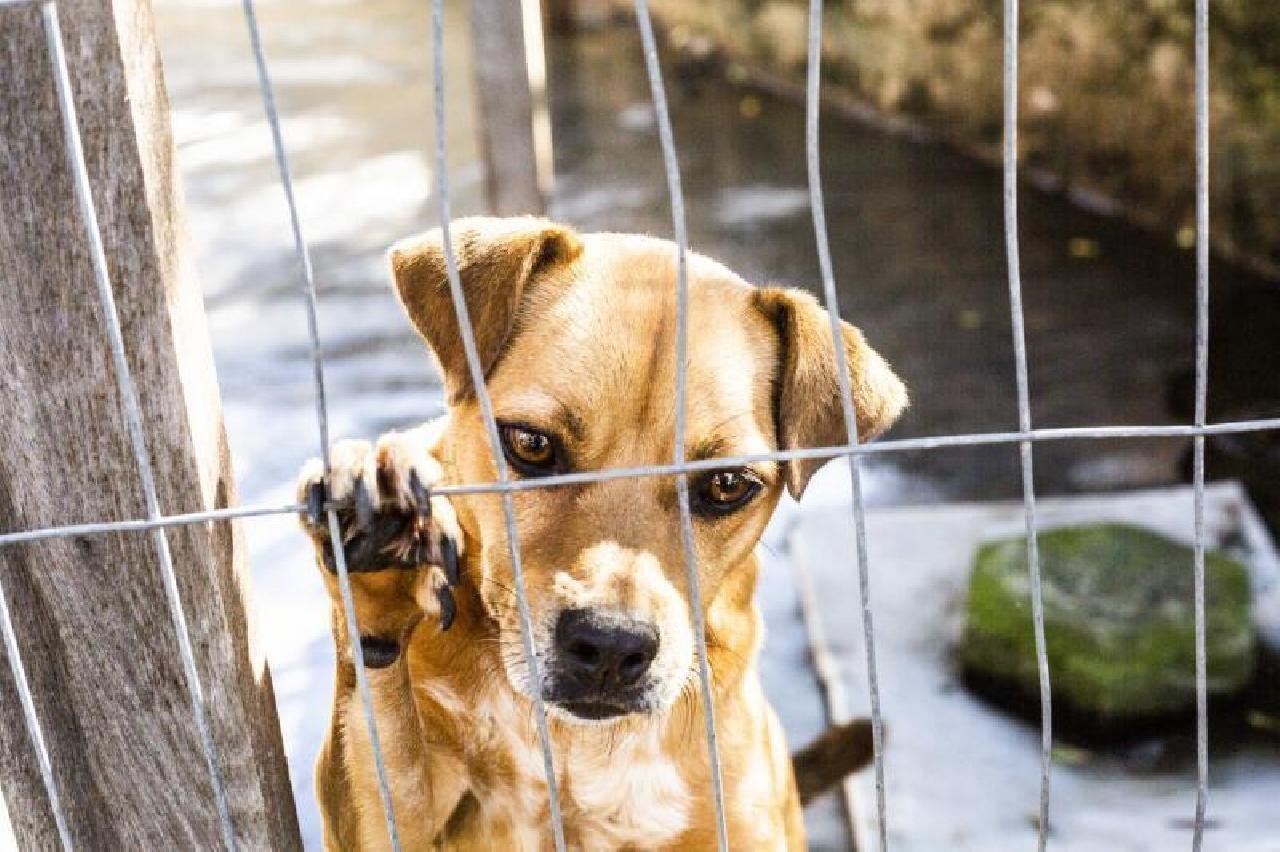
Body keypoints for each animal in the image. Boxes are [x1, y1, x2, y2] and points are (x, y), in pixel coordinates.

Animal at [295, 218, 906, 849]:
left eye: (728, 484)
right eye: (531, 443)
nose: (612, 646)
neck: (575, 747)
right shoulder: (392, 819)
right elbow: (383, 742)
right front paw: (376, 576)